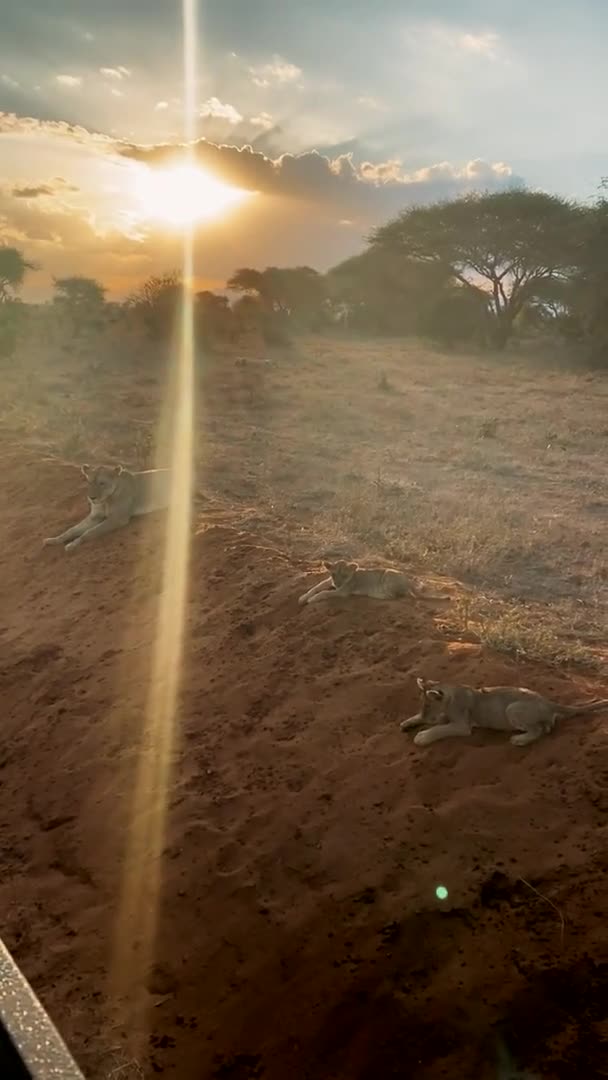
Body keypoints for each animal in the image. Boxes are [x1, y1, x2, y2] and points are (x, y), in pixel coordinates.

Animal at [399, 678, 608, 747]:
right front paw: (407, 723)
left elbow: (440, 729)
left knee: (539, 730)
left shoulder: (462, 726)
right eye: (422, 705)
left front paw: (422, 736)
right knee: (547, 726)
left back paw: (520, 740)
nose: (425, 715)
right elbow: (426, 721)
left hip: (512, 708)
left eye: (428, 706)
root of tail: (548, 702)